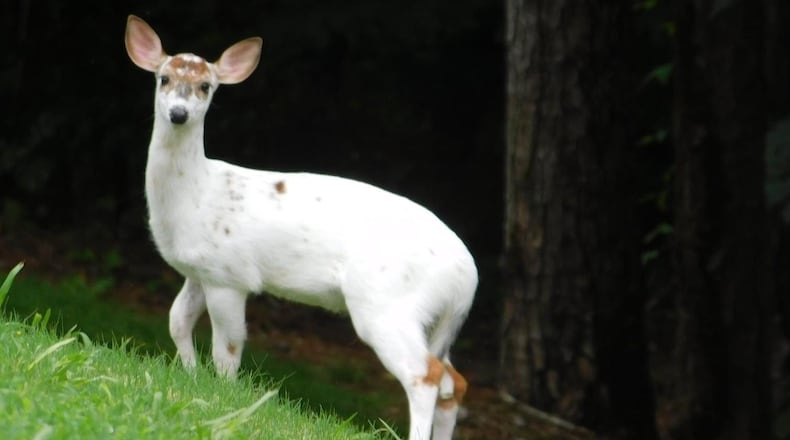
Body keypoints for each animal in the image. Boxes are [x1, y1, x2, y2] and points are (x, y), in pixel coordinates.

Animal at [124, 15, 477, 440]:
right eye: (163, 78)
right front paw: (190, 377)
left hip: (387, 303)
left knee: (426, 374)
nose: (178, 113)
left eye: (206, 86)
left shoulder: (231, 274)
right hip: (431, 318)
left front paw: (222, 394)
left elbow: (228, 347)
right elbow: (177, 320)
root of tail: (468, 277)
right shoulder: (200, 270)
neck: (196, 194)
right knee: (454, 381)